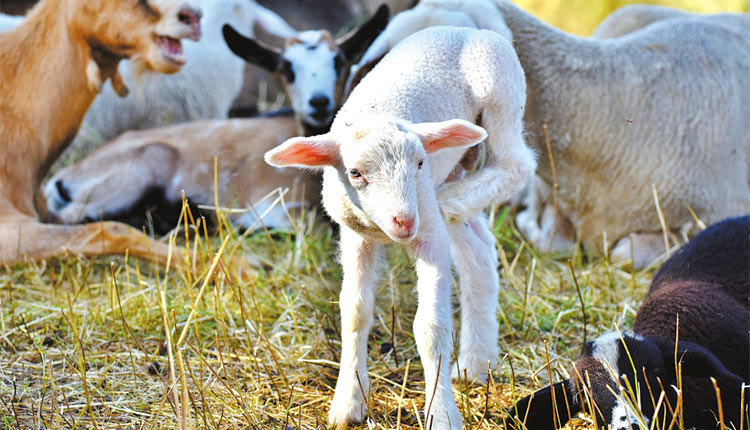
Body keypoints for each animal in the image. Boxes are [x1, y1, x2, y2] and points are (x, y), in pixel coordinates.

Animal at [264, 26, 536, 430]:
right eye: (355, 173)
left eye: (419, 163)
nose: (404, 221)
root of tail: (466, 28)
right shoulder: (355, 236)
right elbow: (355, 312)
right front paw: (348, 402)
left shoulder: (429, 236)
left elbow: (430, 327)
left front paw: (442, 414)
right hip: (456, 165)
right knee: (478, 251)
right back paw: (476, 363)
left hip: (500, 92)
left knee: (516, 164)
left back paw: (451, 199)